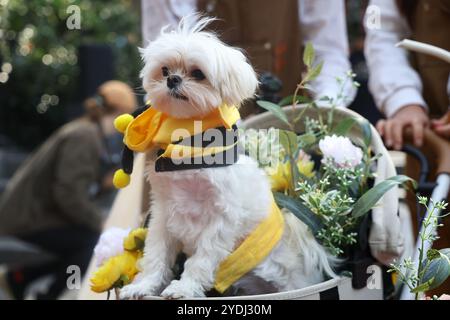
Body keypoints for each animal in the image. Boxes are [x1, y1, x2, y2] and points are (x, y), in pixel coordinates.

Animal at [118, 15, 336, 300]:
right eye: (164, 70)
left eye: (198, 73)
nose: (172, 79)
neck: (188, 141)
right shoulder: (164, 213)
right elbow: (156, 254)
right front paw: (143, 285)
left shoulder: (221, 218)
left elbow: (201, 259)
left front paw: (184, 288)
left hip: (290, 282)